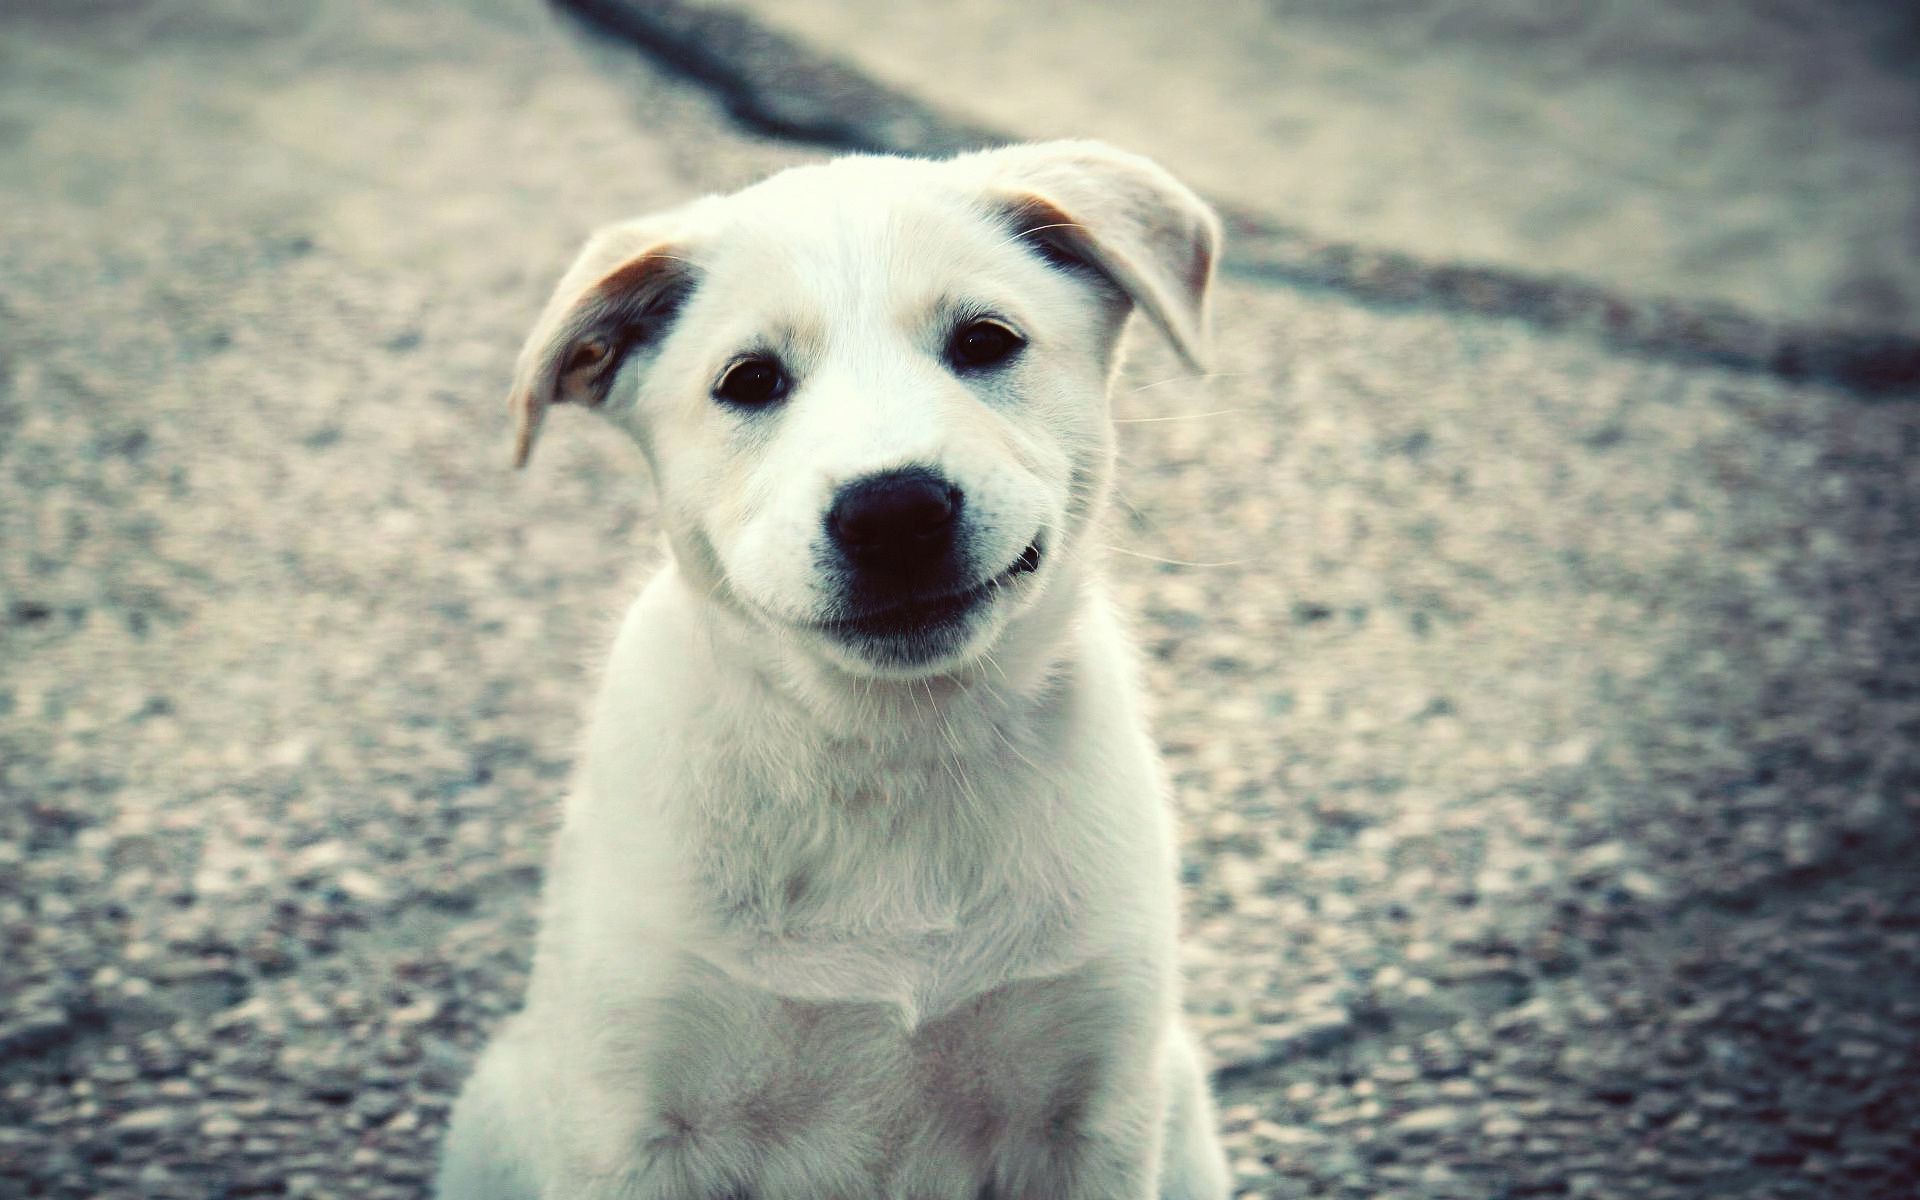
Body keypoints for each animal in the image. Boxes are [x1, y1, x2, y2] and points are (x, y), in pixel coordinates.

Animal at [439, 143, 1228, 1198]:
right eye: (749, 380)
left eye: (986, 340)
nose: (893, 510)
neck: (889, 754)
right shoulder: (635, 1121)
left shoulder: (1089, 1115)